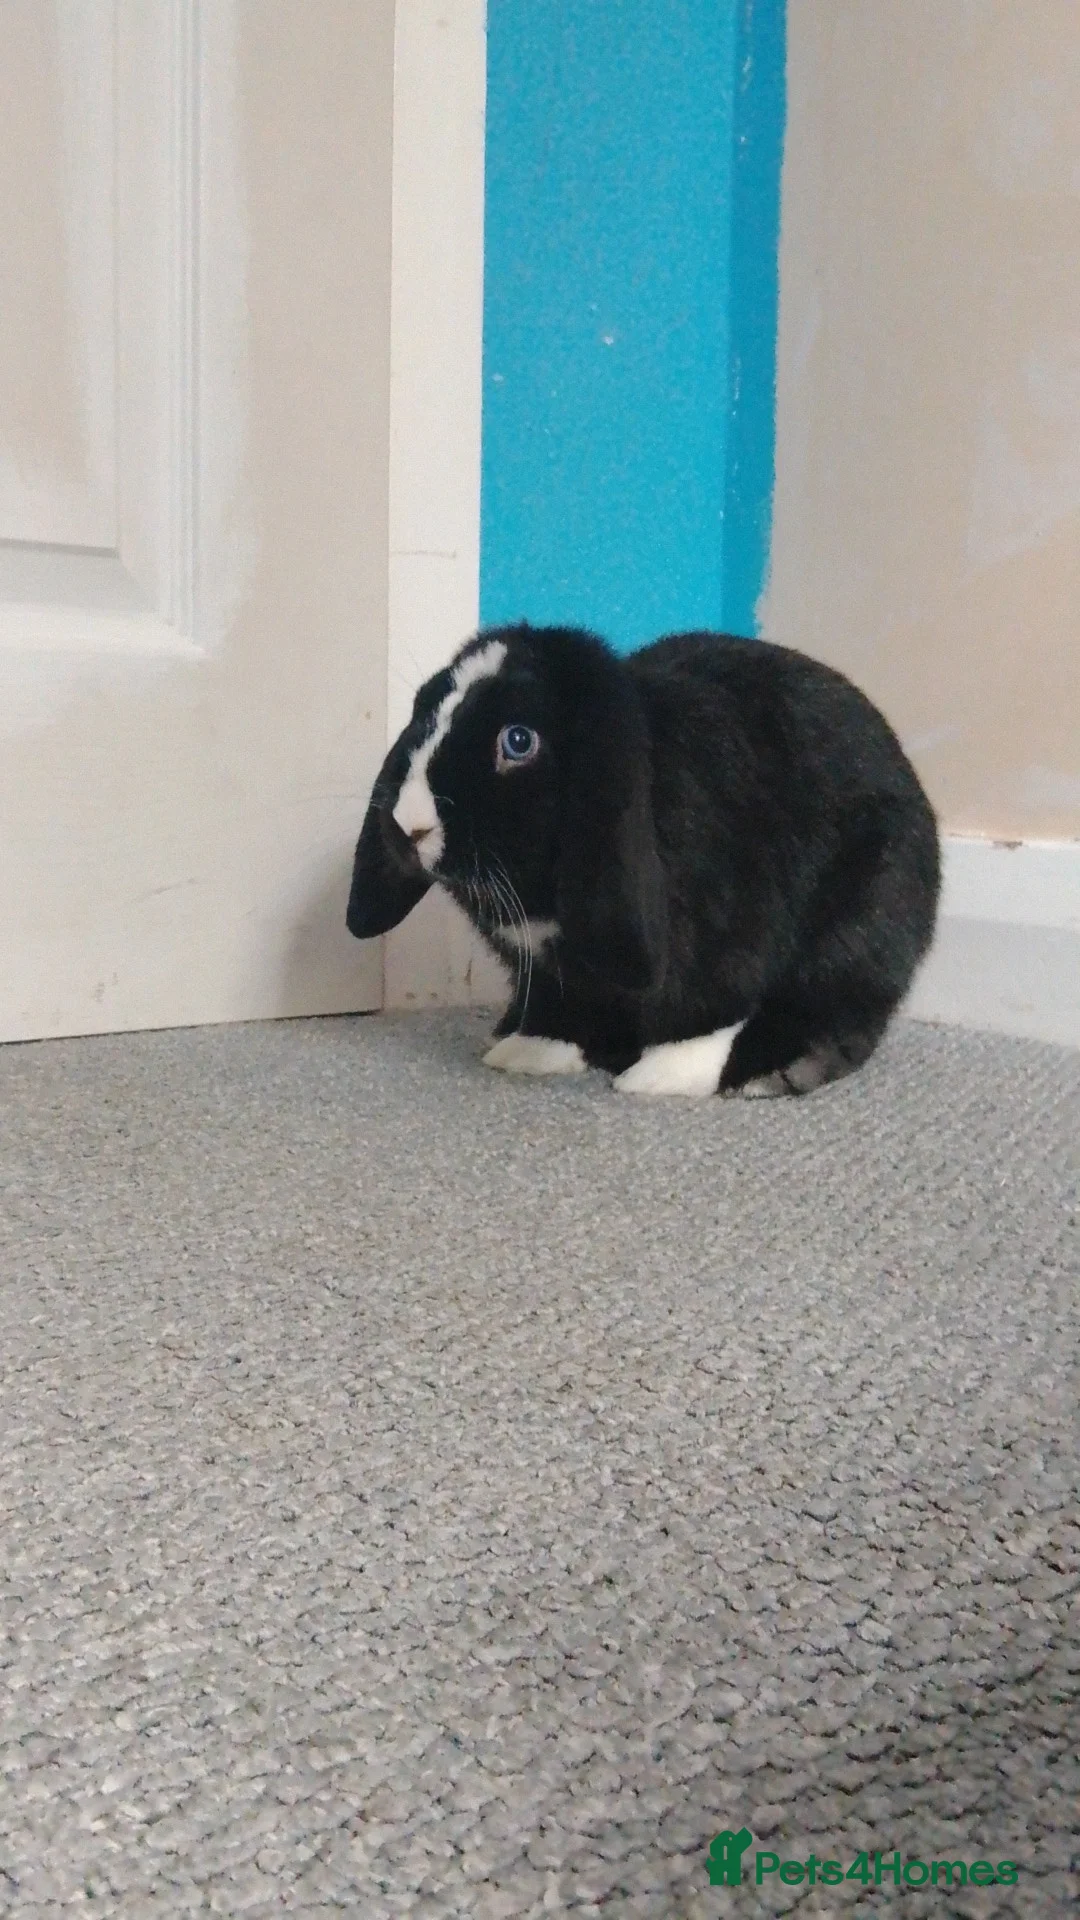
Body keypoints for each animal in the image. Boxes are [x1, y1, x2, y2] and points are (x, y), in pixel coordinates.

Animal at [346, 623, 940, 1097]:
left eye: (518, 740)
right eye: (425, 711)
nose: (409, 824)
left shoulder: (724, 940)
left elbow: (705, 1014)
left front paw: (661, 1077)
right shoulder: (547, 972)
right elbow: (557, 1009)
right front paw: (529, 1052)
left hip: (858, 926)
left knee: (837, 1010)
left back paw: (774, 1074)